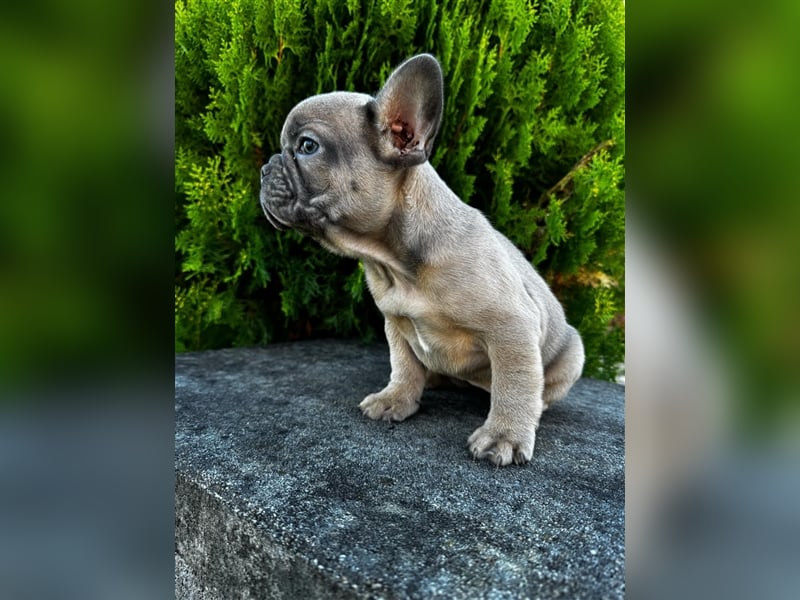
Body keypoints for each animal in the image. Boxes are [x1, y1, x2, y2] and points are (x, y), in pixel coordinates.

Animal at [260, 54, 584, 466]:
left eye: (306, 146)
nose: (264, 169)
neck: (395, 262)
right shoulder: (396, 323)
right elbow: (405, 366)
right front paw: (397, 398)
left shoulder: (512, 327)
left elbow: (515, 382)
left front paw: (504, 435)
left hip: (572, 354)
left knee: (538, 387)